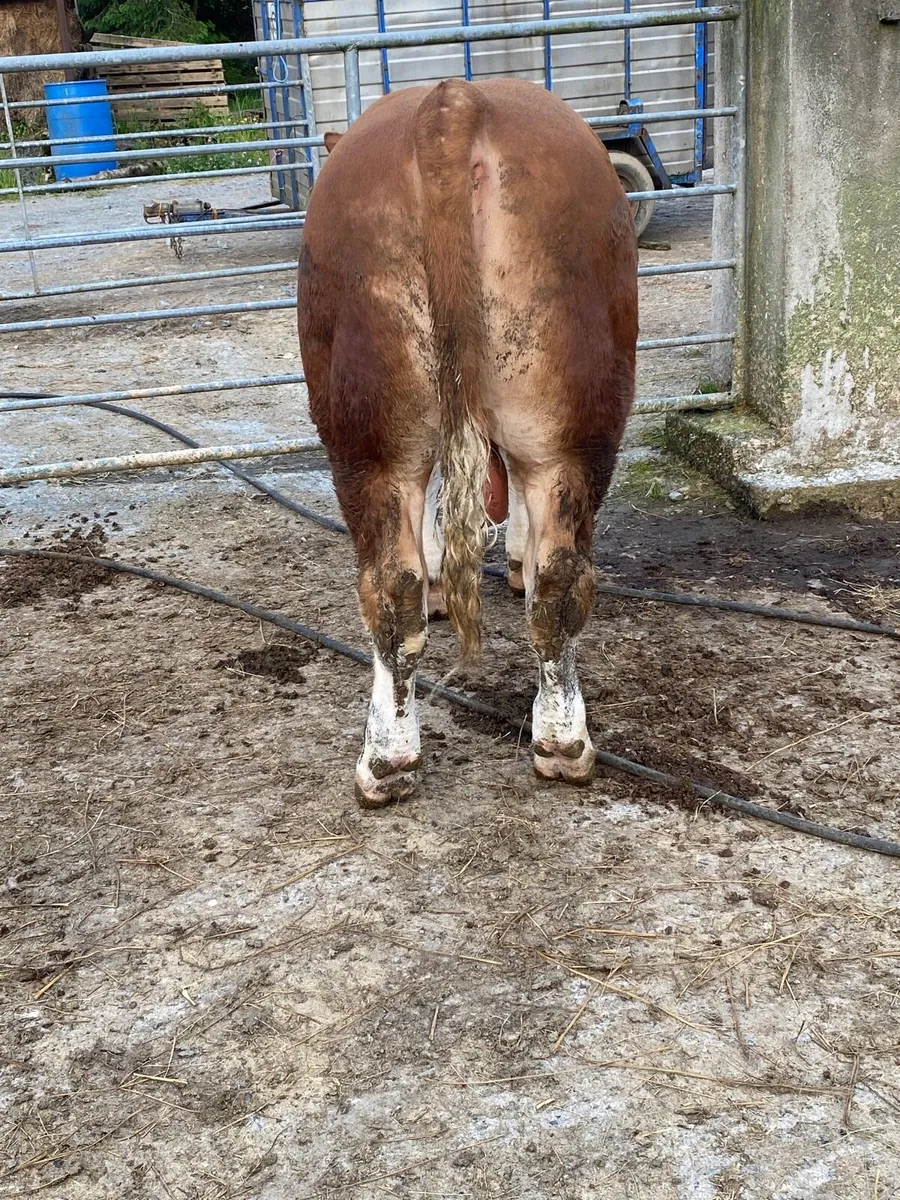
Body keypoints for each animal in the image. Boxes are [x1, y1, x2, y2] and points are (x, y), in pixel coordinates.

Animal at [297, 78, 638, 807]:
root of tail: (453, 102)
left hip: (367, 438)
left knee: (392, 587)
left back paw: (386, 761)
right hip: (562, 430)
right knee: (557, 579)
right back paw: (559, 743)